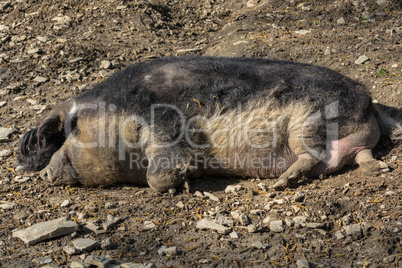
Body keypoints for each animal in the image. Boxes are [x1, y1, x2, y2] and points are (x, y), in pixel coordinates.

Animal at [17, 56, 400, 192]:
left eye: (72, 130)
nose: (45, 173)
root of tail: (369, 100)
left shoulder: (163, 120)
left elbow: (161, 168)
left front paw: (183, 181)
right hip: (342, 138)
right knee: (360, 155)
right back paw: (374, 170)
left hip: (308, 121)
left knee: (313, 154)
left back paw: (281, 183)